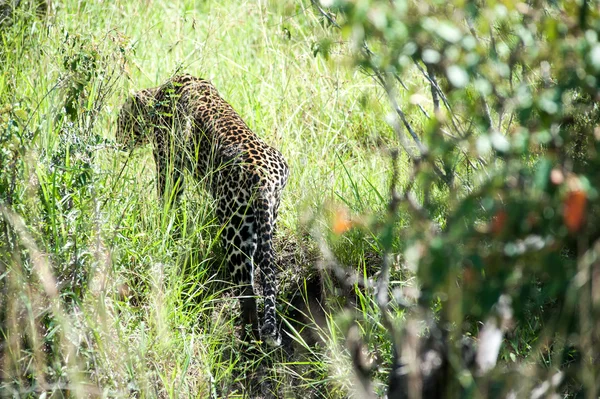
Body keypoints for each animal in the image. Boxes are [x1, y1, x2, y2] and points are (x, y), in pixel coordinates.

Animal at [116, 74, 290, 346]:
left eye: (120, 119)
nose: (116, 138)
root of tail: (264, 179)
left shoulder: (169, 162)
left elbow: (167, 199)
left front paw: (163, 224)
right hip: (264, 223)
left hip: (233, 231)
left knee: (247, 295)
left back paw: (245, 341)